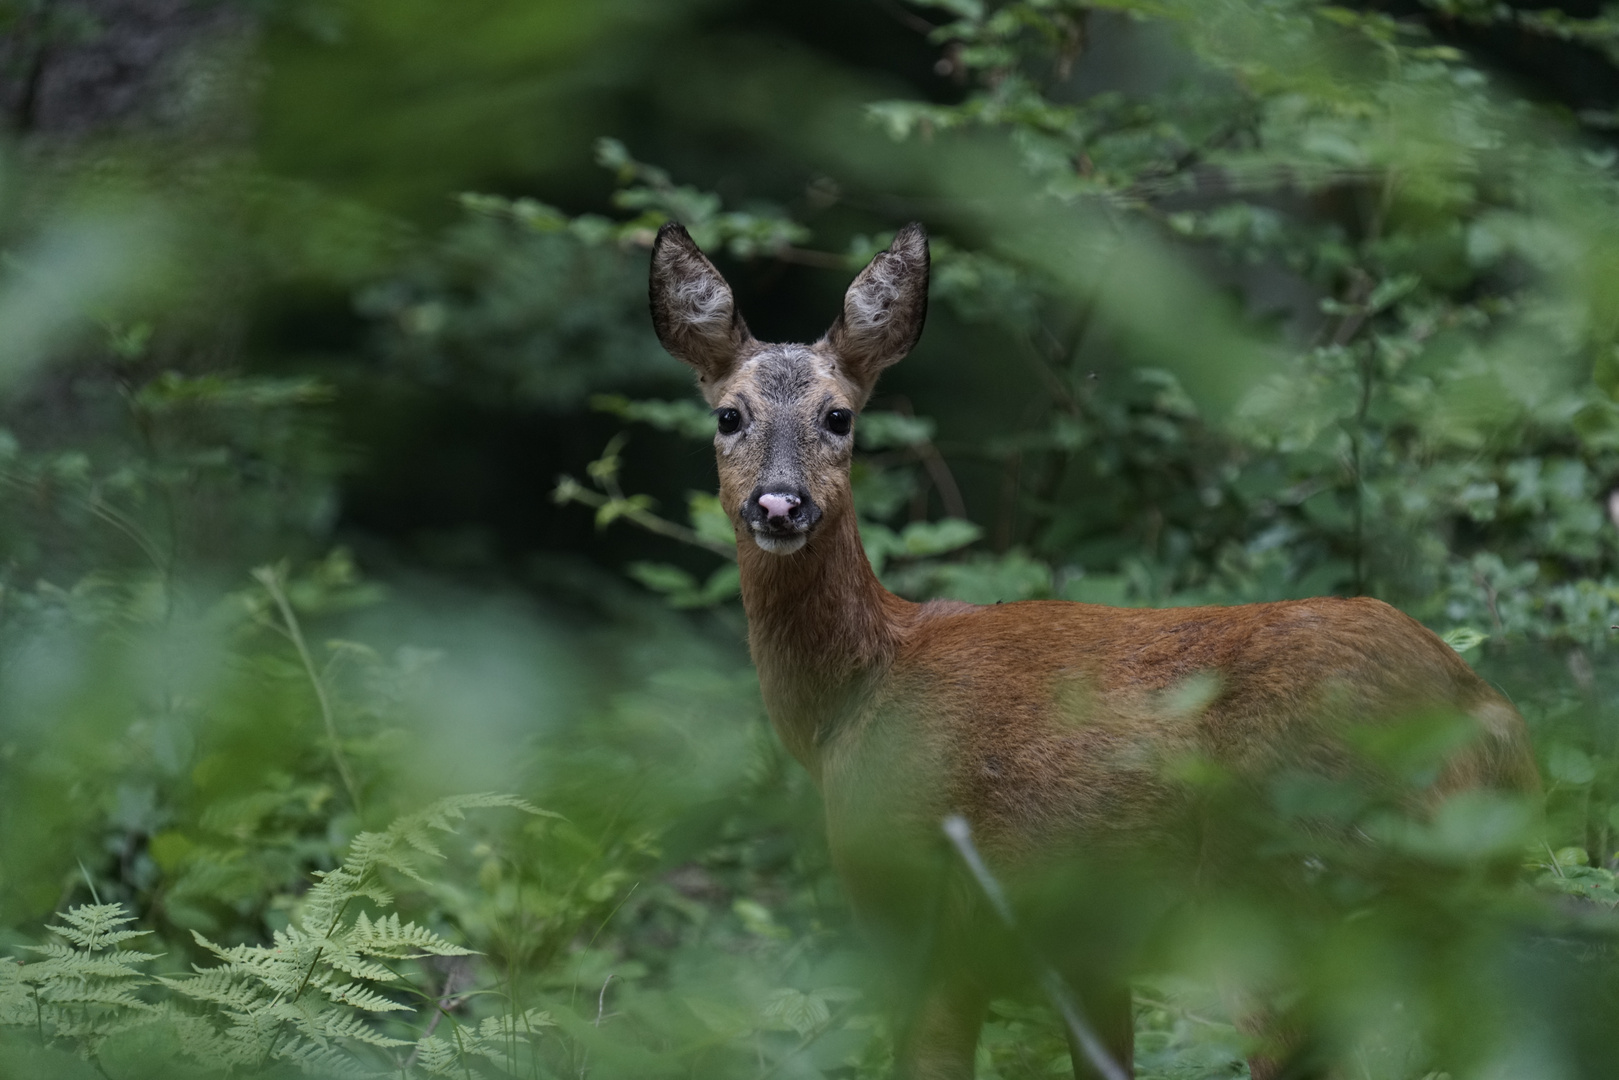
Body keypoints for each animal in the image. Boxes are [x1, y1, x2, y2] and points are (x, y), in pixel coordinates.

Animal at [647, 221, 1541, 1080]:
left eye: (839, 416)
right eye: (728, 416)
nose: (779, 504)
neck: (849, 700)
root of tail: (1479, 714)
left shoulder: (921, 917)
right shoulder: (1087, 958)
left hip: (1286, 889)